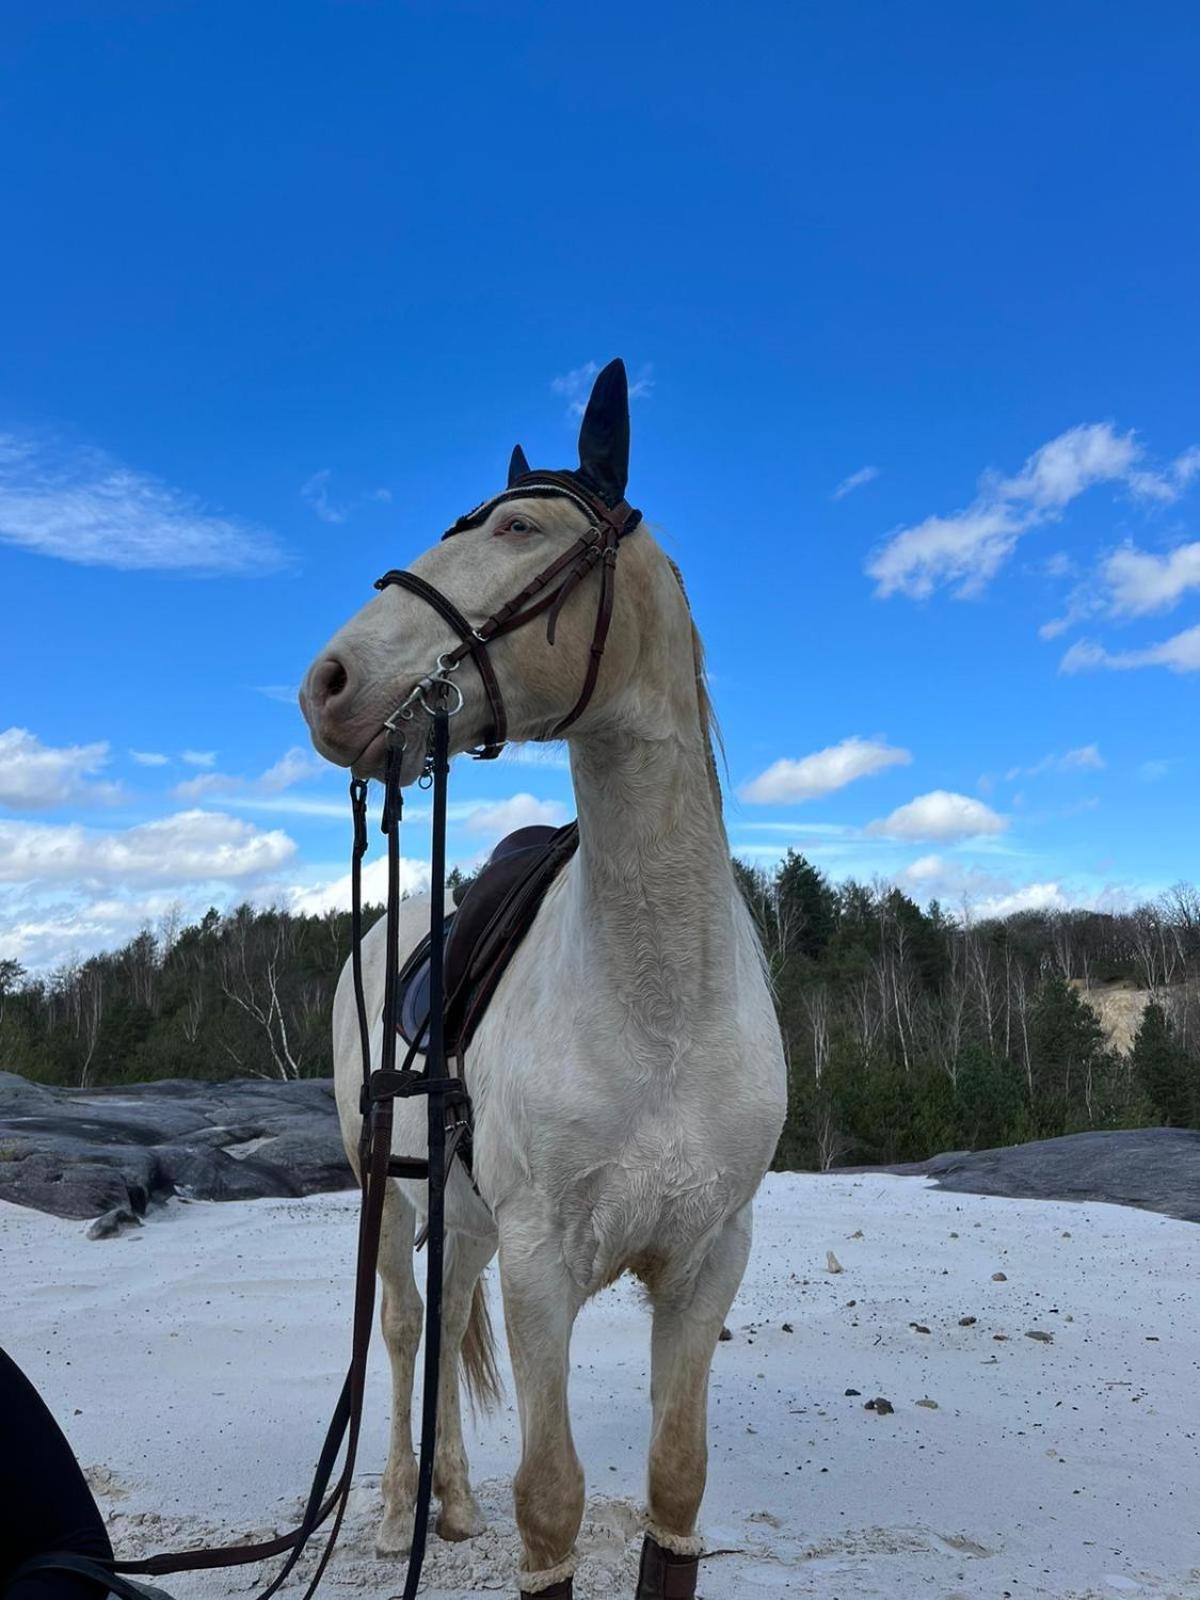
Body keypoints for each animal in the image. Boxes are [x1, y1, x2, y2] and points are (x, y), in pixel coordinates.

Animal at [300, 363, 790, 1600]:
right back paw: (394, 1509)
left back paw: (451, 1502)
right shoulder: (542, 1272)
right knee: (405, 1329)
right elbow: (552, 1503)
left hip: (462, 1215)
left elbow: (676, 1484)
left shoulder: (707, 1262)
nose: (327, 684)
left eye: (519, 528)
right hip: (388, 1201)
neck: (659, 1001)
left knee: (441, 1318)